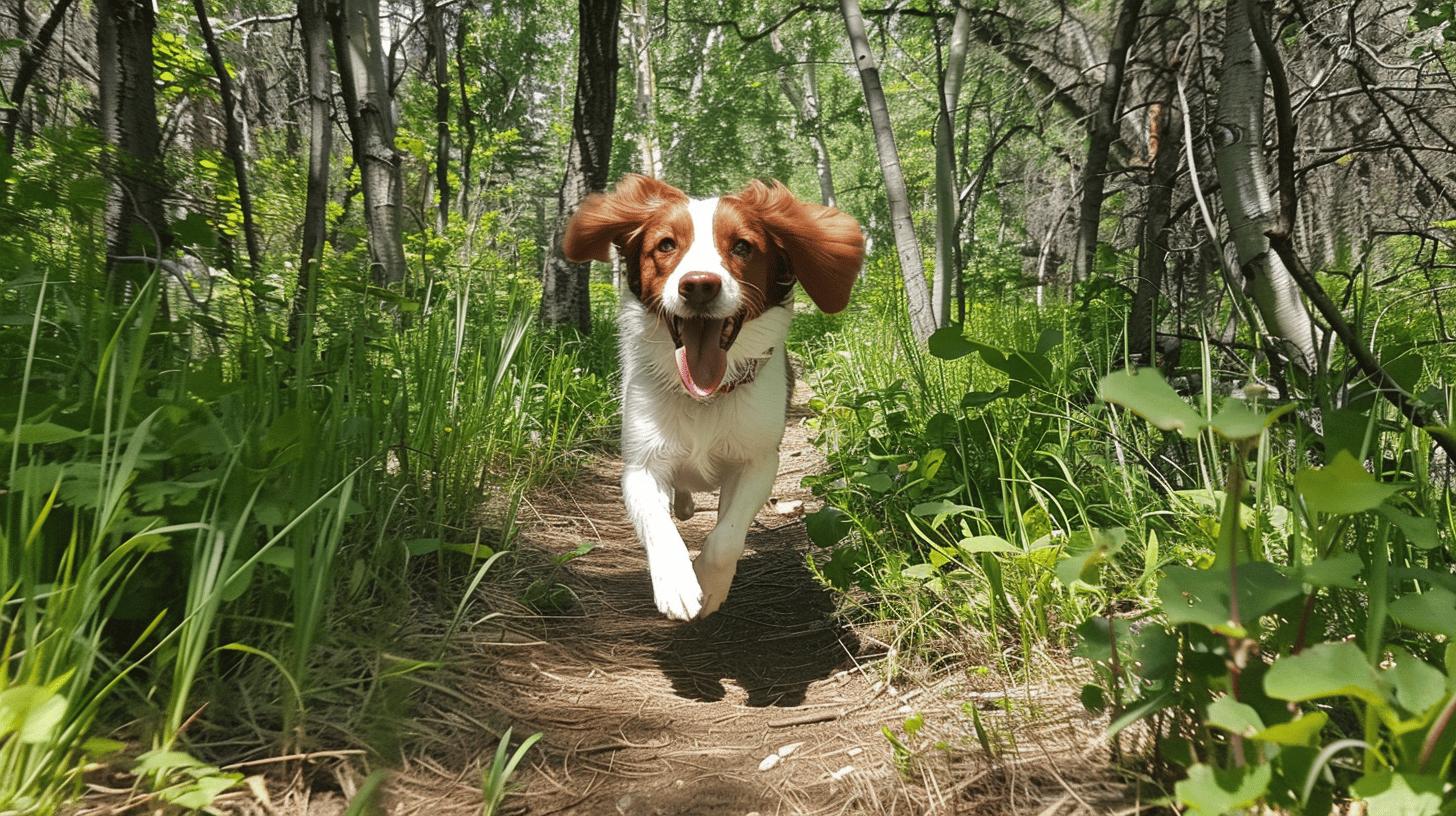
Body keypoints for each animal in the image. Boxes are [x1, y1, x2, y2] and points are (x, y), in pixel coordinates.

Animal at [559, 171, 856, 617]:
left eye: (742, 246)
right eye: (666, 245)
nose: (699, 286)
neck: (704, 397)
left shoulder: (758, 461)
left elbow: (727, 536)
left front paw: (710, 582)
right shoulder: (641, 465)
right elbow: (659, 526)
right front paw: (677, 583)